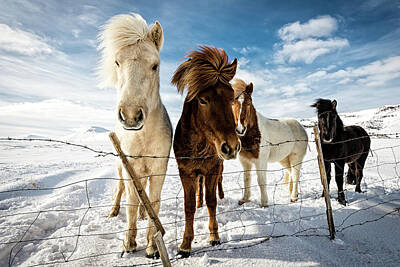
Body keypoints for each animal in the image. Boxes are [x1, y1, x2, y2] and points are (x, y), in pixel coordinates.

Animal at [98, 13, 172, 258]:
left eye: (155, 66)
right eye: (117, 62)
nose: (131, 116)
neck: (143, 138)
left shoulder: (158, 169)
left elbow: (154, 201)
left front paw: (152, 246)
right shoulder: (131, 167)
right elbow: (130, 202)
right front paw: (128, 243)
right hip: (121, 168)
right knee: (121, 189)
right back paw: (113, 211)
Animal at [172, 45, 241, 258]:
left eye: (231, 98)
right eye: (202, 100)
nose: (231, 146)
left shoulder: (212, 169)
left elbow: (212, 201)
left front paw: (214, 236)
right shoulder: (186, 172)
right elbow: (188, 207)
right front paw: (185, 245)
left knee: (218, 184)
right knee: (199, 188)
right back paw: (198, 202)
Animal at [230, 78, 308, 206]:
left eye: (248, 103)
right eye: (232, 104)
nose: (240, 129)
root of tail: (300, 126)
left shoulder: (260, 161)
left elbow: (261, 180)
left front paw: (264, 203)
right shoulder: (245, 161)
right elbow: (246, 179)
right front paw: (244, 199)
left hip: (296, 158)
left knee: (295, 174)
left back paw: (293, 197)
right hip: (284, 159)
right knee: (291, 173)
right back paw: (291, 193)